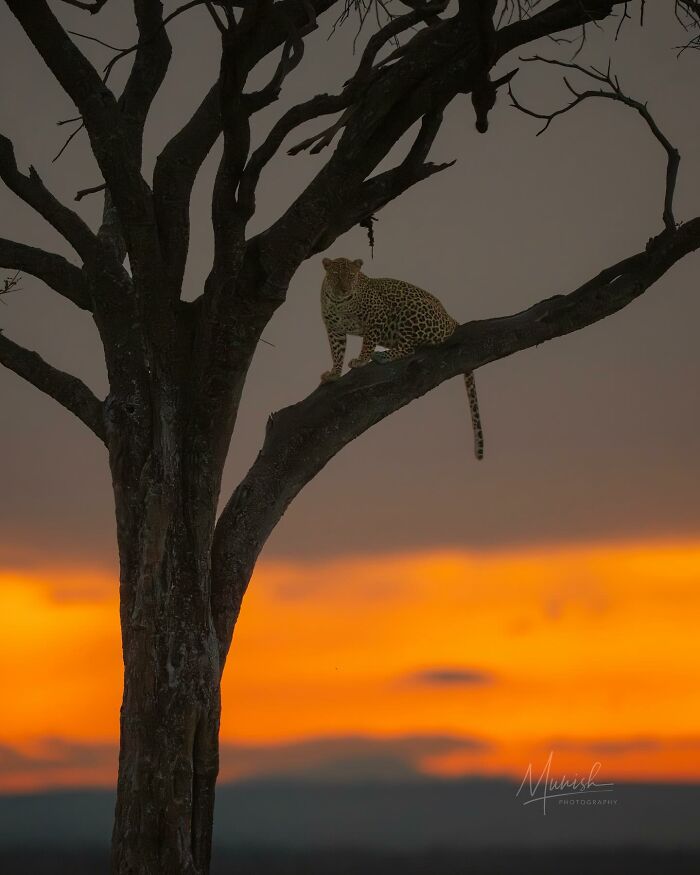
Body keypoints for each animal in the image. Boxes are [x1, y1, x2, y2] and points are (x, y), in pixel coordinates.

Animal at [319, 256, 484, 460]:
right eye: (335, 275)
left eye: (351, 276)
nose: (344, 290)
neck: (339, 303)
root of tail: (450, 318)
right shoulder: (334, 330)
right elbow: (336, 352)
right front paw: (334, 374)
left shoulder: (377, 316)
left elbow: (368, 342)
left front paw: (361, 359)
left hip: (411, 309)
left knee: (408, 348)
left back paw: (382, 355)